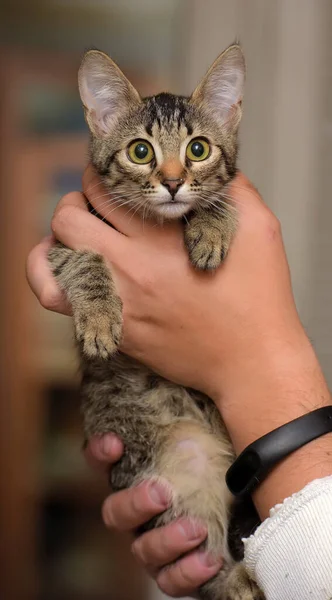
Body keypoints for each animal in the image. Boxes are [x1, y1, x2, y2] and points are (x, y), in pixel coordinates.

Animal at [47, 45, 264, 600]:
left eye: (199, 148)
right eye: (141, 151)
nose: (171, 181)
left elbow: (222, 199)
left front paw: (210, 227)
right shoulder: (57, 243)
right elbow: (83, 259)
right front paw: (99, 318)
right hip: (182, 468)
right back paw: (239, 581)